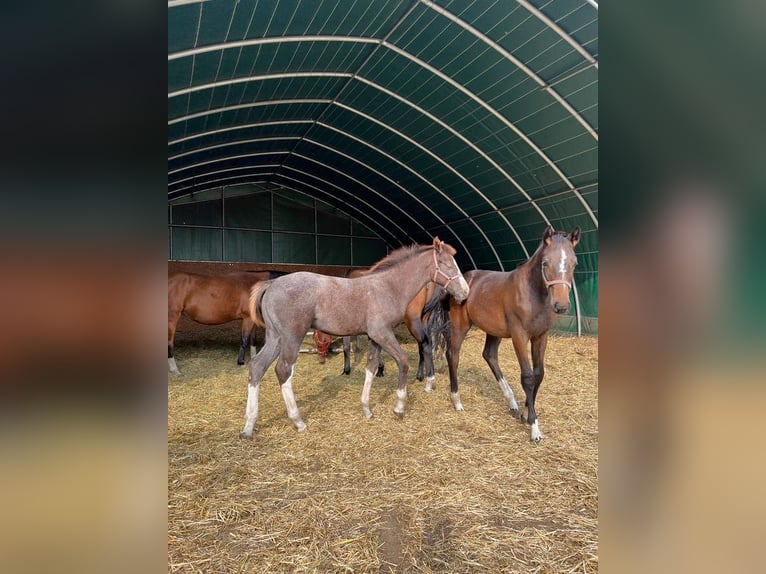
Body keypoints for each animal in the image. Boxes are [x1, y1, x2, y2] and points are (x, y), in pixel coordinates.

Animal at [240, 238, 472, 436]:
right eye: (448, 265)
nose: (465, 292)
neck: (389, 287)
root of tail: (271, 284)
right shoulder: (382, 333)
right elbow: (403, 361)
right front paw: (399, 407)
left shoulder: (374, 337)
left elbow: (371, 367)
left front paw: (367, 409)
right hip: (291, 337)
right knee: (283, 370)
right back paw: (298, 421)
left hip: (275, 338)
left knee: (257, 367)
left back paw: (248, 426)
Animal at [426, 227, 584, 444]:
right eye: (545, 263)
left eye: (574, 263)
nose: (561, 306)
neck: (533, 294)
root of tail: (462, 280)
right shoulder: (519, 335)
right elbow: (527, 377)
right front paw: (534, 428)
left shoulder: (540, 336)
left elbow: (539, 374)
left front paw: (526, 412)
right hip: (460, 326)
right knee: (453, 355)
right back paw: (457, 401)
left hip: (494, 331)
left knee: (489, 355)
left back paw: (512, 402)